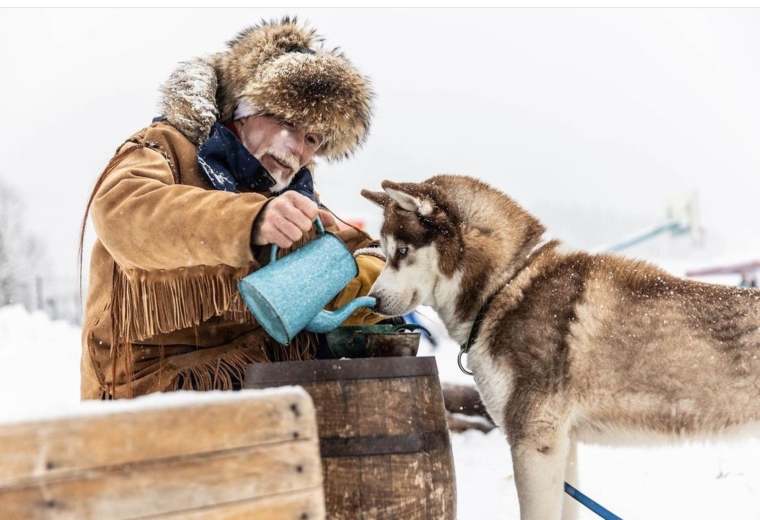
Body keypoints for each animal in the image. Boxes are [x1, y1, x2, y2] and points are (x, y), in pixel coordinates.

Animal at [360, 176, 760, 520]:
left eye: (401, 251)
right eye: (382, 250)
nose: (371, 300)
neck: (504, 286)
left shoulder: (535, 443)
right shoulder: (564, 446)